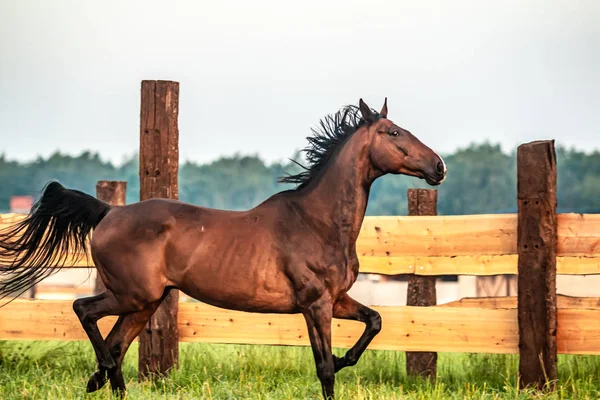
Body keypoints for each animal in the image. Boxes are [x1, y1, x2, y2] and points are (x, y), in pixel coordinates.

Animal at [0, 98, 446, 398]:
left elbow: (374, 322)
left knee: (114, 344)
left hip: (144, 303)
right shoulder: (315, 303)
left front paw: (344, 357)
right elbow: (324, 369)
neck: (317, 221)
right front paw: (334, 363)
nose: (439, 166)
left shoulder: (336, 300)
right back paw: (100, 374)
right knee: (86, 314)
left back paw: (103, 381)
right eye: (393, 132)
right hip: (133, 295)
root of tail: (109, 211)